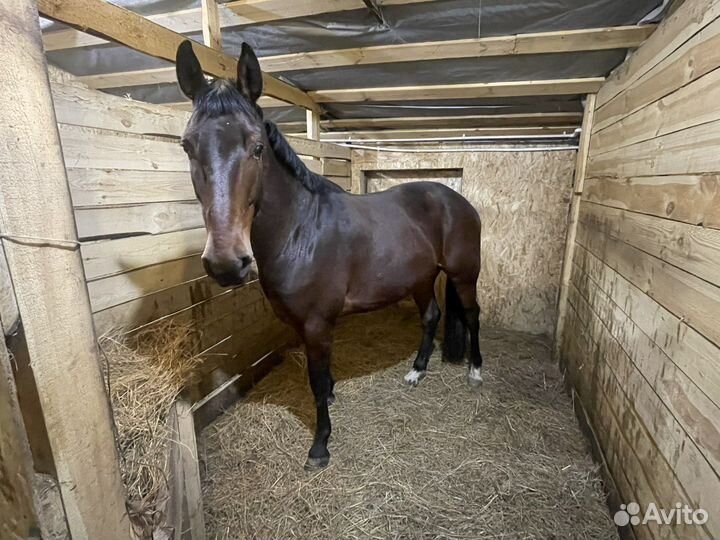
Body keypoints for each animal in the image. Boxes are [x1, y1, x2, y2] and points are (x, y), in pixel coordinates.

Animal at [175, 40, 484, 470]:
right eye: (187, 145)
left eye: (257, 147)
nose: (225, 262)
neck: (301, 231)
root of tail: (457, 200)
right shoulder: (303, 325)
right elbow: (322, 377)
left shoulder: (317, 323)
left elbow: (317, 382)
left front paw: (320, 446)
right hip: (421, 277)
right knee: (431, 317)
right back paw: (416, 372)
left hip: (463, 274)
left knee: (471, 315)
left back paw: (475, 372)